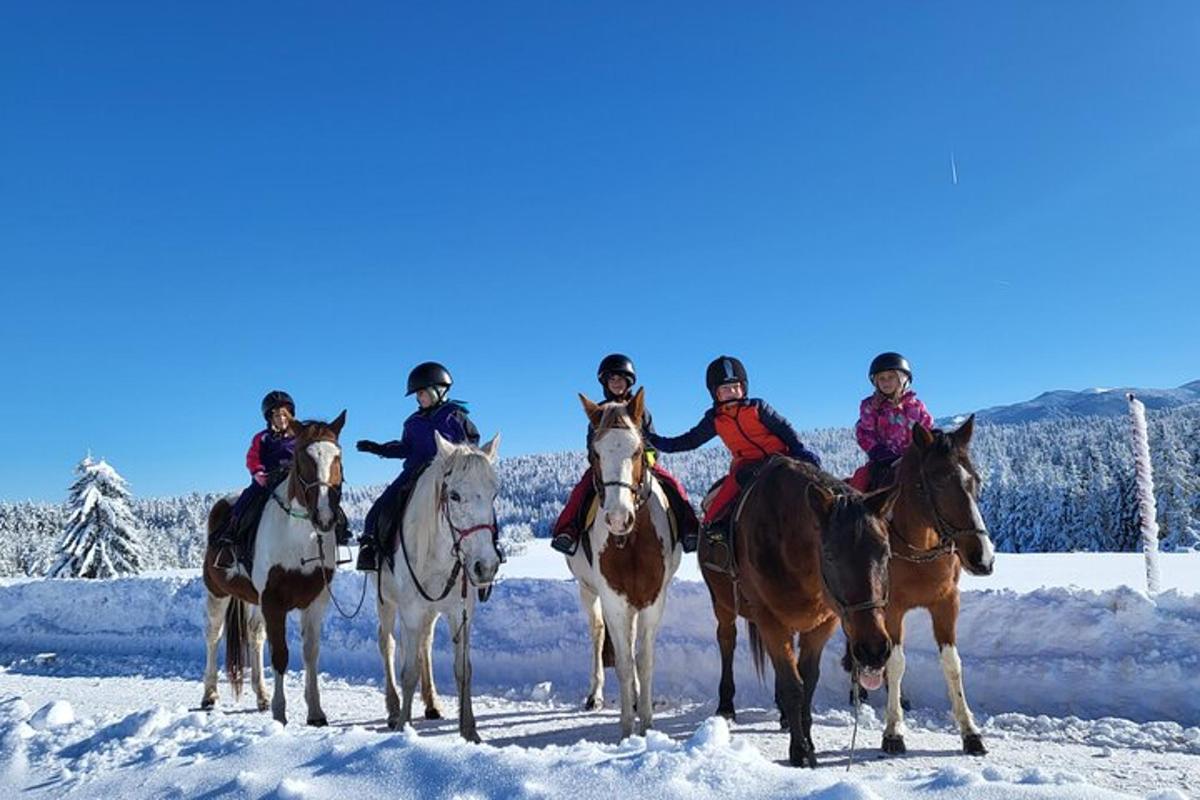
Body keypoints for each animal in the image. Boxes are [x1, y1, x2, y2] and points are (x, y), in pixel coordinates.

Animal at [202, 410, 348, 729]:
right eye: (302, 458)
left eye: (337, 456)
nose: (325, 517)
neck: (299, 538)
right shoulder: (273, 601)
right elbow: (280, 654)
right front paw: (280, 714)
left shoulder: (315, 602)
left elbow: (310, 654)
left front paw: (315, 712)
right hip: (217, 593)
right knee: (213, 635)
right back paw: (210, 695)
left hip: (253, 600)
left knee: (255, 636)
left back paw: (261, 696)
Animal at [376, 431, 504, 743]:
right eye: (454, 495)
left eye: (494, 493)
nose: (486, 566)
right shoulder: (410, 612)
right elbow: (408, 670)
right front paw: (403, 727)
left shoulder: (460, 611)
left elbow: (463, 669)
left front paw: (469, 730)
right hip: (386, 603)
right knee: (387, 645)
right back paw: (394, 709)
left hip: (431, 612)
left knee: (426, 644)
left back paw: (432, 703)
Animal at [564, 391, 681, 743]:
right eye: (595, 453)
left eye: (638, 449)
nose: (617, 518)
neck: (630, 540)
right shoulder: (614, 600)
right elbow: (625, 663)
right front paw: (628, 727)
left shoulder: (653, 600)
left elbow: (643, 660)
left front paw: (647, 722)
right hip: (589, 591)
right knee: (597, 634)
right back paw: (595, 694)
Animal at [700, 462, 897, 767]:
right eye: (830, 555)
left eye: (885, 553)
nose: (873, 649)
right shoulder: (770, 619)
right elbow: (794, 686)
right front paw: (800, 750)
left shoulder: (822, 624)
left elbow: (809, 680)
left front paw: (807, 737)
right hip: (723, 605)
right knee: (727, 642)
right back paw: (726, 705)